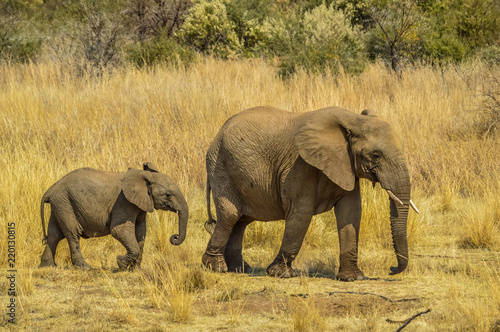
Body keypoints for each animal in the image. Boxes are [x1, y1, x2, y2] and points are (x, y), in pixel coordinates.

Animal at [39, 163, 188, 270]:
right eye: (168, 195)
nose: (174, 237)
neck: (144, 176)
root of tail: (51, 189)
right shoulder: (123, 202)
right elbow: (119, 231)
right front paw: (120, 263)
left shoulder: (140, 205)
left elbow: (141, 232)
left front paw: (136, 269)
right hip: (65, 203)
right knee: (72, 233)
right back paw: (85, 268)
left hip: (60, 204)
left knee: (54, 234)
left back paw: (48, 266)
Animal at [202, 105, 418, 280]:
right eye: (376, 155)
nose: (391, 269)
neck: (353, 119)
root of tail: (217, 136)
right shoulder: (300, 165)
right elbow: (301, 214)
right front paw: (281, 273)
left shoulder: (345, 165)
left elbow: (351, 212)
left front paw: (352, 278)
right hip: (220, 167)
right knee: (230, 216)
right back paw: (216, 267)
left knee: (241, 221)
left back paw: (239, 268)